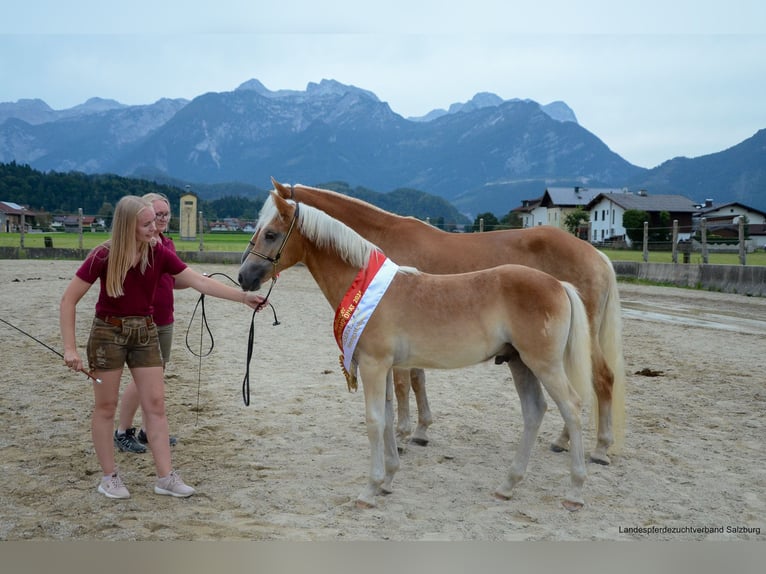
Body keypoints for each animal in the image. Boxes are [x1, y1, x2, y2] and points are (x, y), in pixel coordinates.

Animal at [238, 194, 592, 512]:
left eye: (271, 234)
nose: (244, 277)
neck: (365, 287)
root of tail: (559, 285)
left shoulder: (374, 365)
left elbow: (375, 420)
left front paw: (369, 489)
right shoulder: (383, 367)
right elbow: (388, 416)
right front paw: (388, 480)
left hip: (544, 364)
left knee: (572, 408)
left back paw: (575, 492)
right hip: (520, 363)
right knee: (534, 411)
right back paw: (507, 485)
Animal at [272, 178, 628, 466]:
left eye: (270, 231)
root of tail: (595, 254)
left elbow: (404, 385)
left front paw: (403, 434)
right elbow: (418, 379)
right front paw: (421, 430)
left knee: (601, 379)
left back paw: (600, 448)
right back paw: (565, 440)